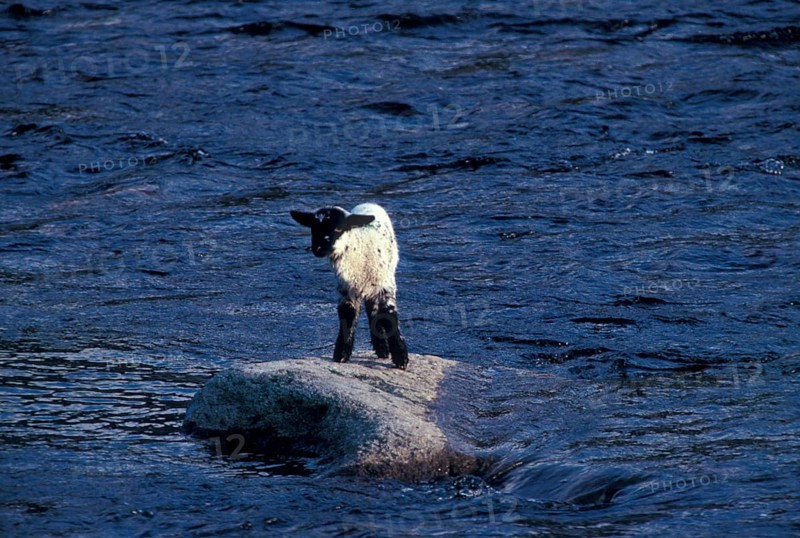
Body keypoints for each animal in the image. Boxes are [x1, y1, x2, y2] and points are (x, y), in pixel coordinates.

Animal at [290, 203, 410, 369]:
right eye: (313, 227)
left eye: (338, 228)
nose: (318, 249)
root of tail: (368, 203)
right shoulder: (346, 289)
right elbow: (347, 314)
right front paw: (341, 354)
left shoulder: (385, 285)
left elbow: (389, 315)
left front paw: (400, 357)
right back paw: (380, 347)